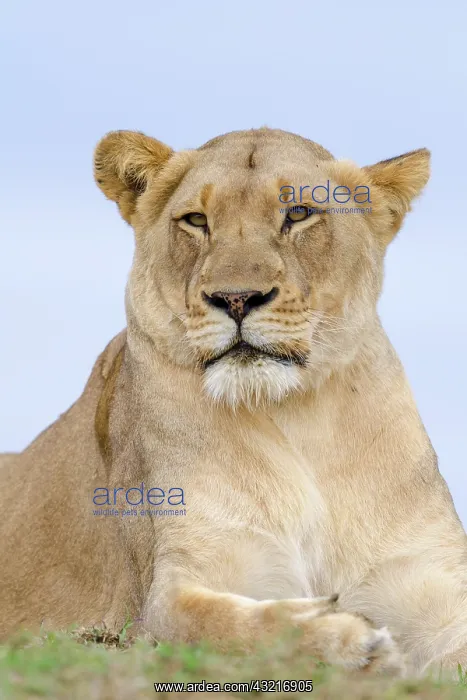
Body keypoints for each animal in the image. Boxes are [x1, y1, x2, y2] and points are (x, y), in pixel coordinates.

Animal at [0, 127, 466, 678]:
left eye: (298, 213)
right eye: (197, 220)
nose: (237, 299)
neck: (297, 417)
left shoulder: (431, 573)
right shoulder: (164, 598)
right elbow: (235, 625)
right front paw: (351, 639)